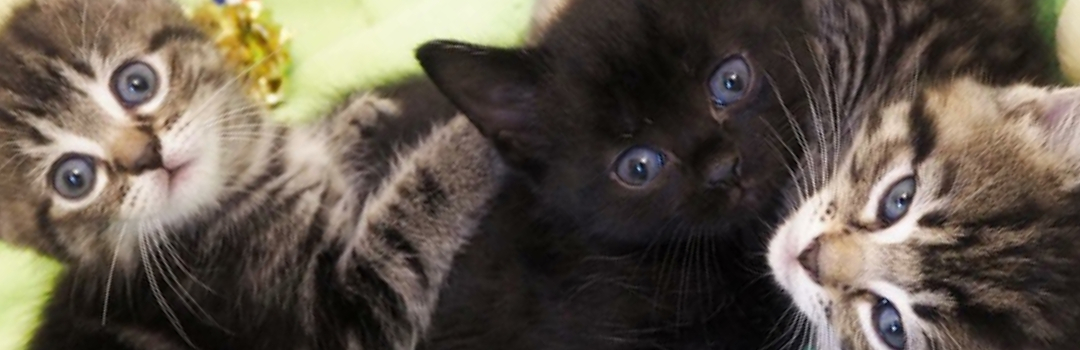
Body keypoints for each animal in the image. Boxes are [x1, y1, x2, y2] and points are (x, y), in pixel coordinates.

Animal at [0, 0, 501, 350]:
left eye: (136, 83)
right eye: (74, 179)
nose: (147, 157)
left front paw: (351, 120)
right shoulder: (332, 318)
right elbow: (414, 216)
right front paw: (473, 134)